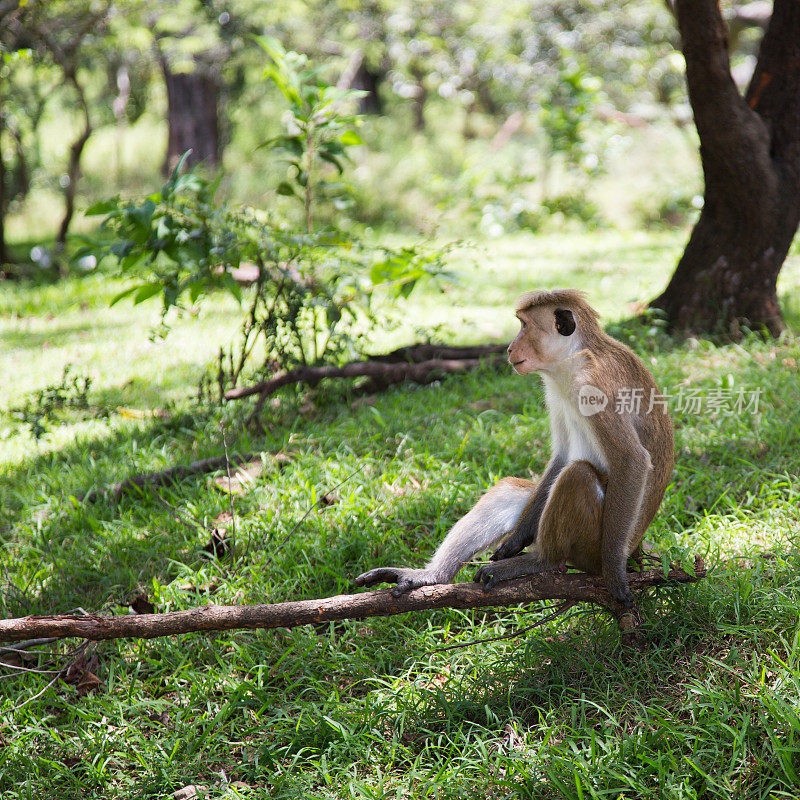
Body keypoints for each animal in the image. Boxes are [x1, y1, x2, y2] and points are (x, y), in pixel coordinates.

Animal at [354, 288, 672, 608]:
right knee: (513, 490)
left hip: (592, 546)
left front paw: (615, 572)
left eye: (524, 326)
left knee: (578, 475)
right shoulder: (554, 389)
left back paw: (542, 562)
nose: (508, 348)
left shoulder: (593, 386)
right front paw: (515, 541)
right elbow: (561, 456)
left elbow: (631, 460)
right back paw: (432, 575)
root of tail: (637, 548)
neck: (571, 360)